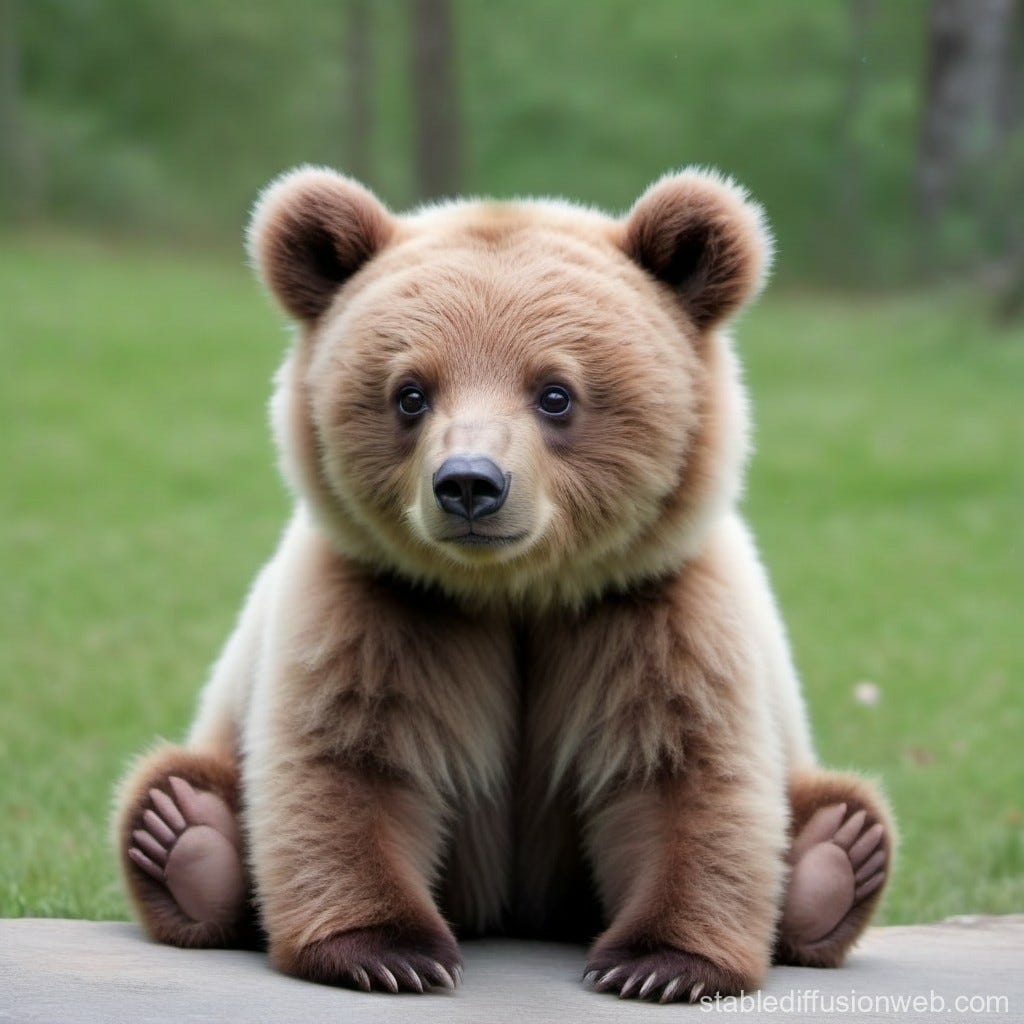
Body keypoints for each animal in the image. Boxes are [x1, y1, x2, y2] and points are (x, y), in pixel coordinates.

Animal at [113, 166, 893, 1002]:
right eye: (410, 392)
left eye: (555, 392)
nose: (469, 484)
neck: (514, 592)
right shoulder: (380, 602)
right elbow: (347, 761)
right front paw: (388, 952)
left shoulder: (653, 605)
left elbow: (683, 770)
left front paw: (660, 965)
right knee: (176, 788)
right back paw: (187, 838)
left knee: (834, 808)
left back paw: (834, 860)